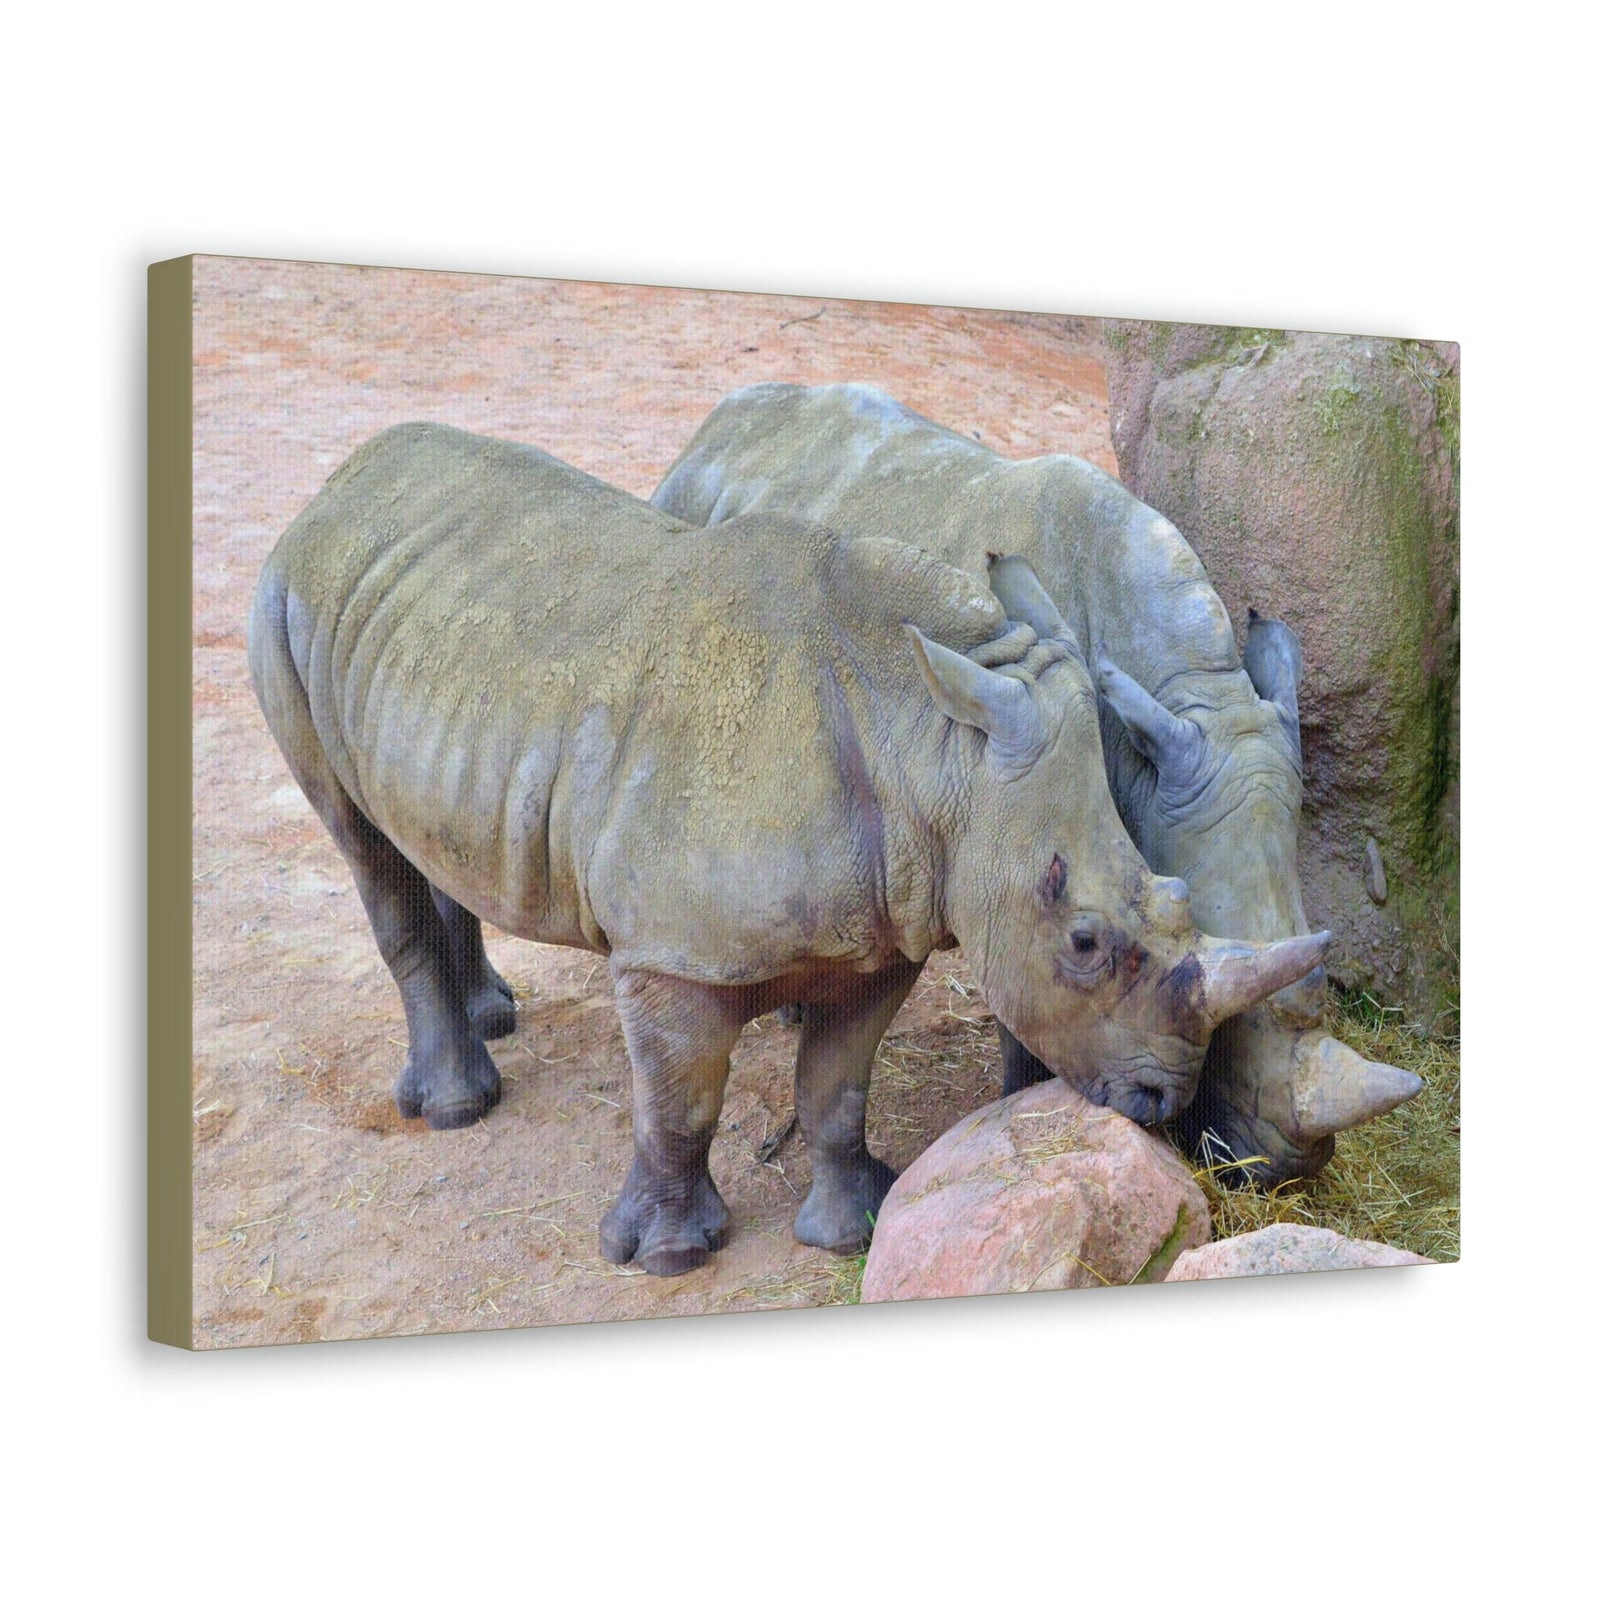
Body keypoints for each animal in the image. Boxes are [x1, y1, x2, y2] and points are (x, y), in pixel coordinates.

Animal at [248, 421, 1331, 1275]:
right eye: (1084, 943)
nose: (1159, 1096)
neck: (932, 745)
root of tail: (341, 479)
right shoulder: (671, 952)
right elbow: (680, 1099)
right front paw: (667, 1256)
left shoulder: (891, 922)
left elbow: (836, 1085)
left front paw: (852, 1227)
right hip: (284, 595)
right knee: (358, 839)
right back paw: (459, 1107)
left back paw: (492, 1017)